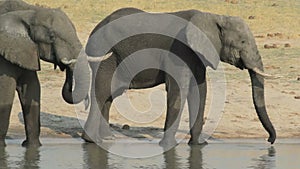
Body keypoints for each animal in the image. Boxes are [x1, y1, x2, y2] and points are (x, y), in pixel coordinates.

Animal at [0, 0, 89, 147]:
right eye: (52, 36)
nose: (65, 66)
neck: (29, 12)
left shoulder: (27, 50)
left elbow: (32, 89)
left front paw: (32, 147)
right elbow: (6, 91)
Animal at [77, 6, 276, 147]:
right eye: (242, 42)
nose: (270, 141)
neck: (213, 16)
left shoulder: (197, 54)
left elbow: (200, 91)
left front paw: (199, 144)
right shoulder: (179, 50)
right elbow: (178, 90)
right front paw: (168, 146)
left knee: (110, 94)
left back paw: (108, 138)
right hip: (105, 54)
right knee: (102, 91)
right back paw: (92, 140)